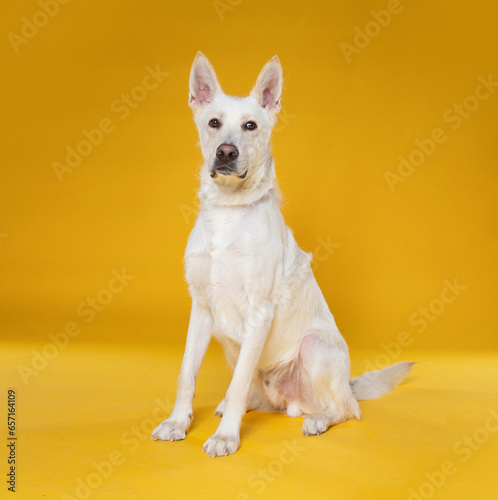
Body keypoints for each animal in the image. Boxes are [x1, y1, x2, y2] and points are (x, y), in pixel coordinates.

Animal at [151, 51, 412, 458]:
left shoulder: (259, 312)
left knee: (345, 409)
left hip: (313, 347)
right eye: (214, 123)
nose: (226, 153)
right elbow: (185, 374)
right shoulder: (201, 308)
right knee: (259, 396)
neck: (229, 211)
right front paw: (178, 423)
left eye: (250, 126)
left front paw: (226, 437)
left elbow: (238, 383)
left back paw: (318, 419)